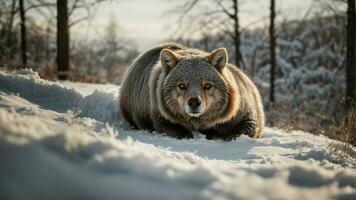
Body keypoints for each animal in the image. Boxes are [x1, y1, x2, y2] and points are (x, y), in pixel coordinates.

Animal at [119, 43, 264, 141]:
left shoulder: (246, 116)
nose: (194, 102)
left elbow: (243, 130)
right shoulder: (160, 115)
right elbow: (174, 129)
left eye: (207, 85)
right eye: (182, 85)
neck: (199, 122)